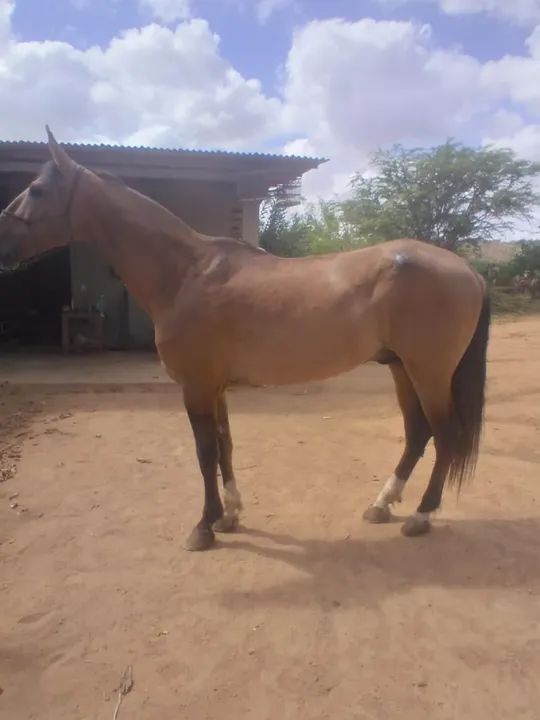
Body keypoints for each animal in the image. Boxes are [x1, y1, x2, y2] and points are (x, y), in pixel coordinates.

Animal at [0, 128, 490, 552]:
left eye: (37, 190)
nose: (2, 241)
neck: (185, 274)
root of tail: (466, 269)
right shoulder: (214, 388)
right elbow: (224, 446)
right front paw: (230, 516)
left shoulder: (196, 387)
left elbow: (204, 453)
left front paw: (203, 527)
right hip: (401, 368)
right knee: (418, 432)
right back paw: (382, 505)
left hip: (428, 371)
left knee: (445, 433)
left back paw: (421, 516)